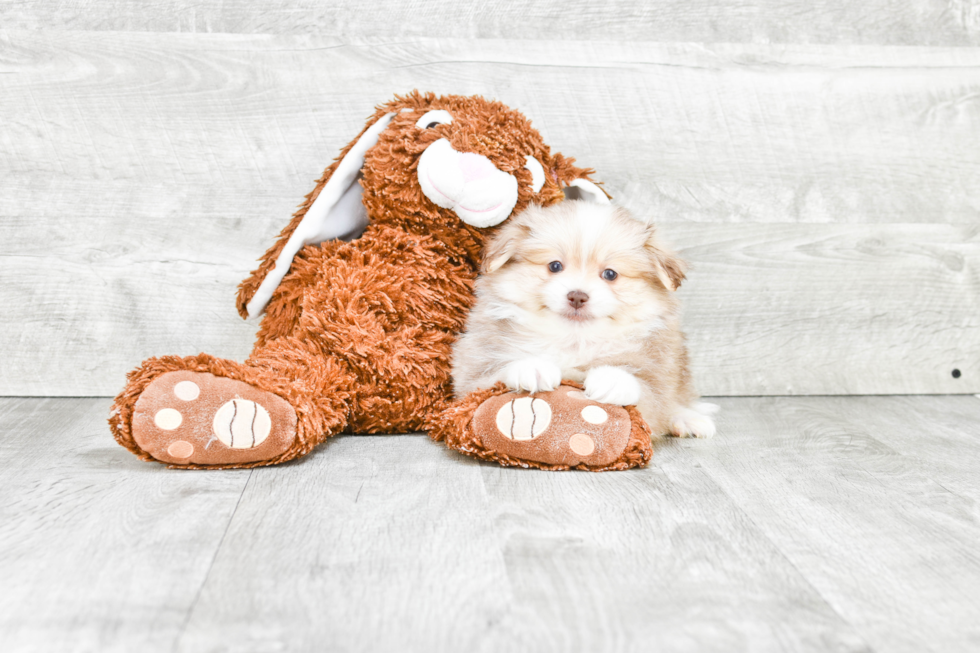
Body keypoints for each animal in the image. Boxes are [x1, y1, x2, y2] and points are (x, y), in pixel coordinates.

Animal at [454, 200, 720, 438]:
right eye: (554, 266)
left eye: (610, 274)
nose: (577, 296)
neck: (574, 340)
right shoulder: (470, 377)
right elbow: (494, 373)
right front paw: (531, 367)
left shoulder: (657, 380)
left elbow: (646, 389)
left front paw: (613, 379)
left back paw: (687, 419)